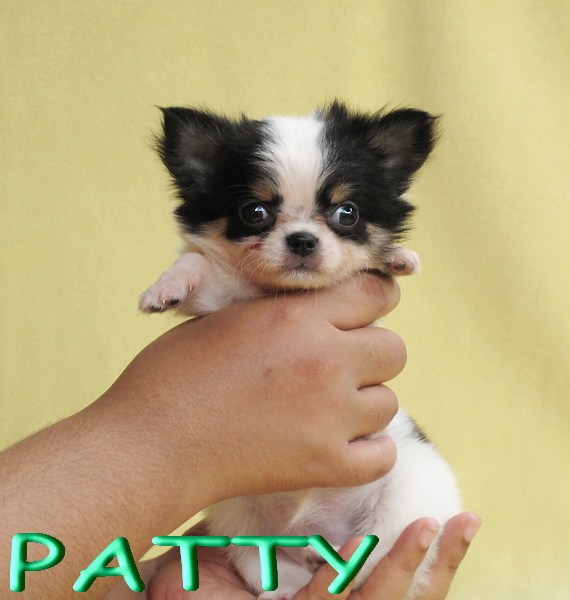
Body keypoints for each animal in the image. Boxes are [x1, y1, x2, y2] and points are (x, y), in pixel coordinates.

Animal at [139, 101, 461, 599]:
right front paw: (167, 286)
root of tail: (317, 541)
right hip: (239, 521)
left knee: (380, 551)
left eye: (347, 213)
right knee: (266, 565)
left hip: (409, 492)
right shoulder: (219, 300)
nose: (303, 239)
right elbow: (196, 262)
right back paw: (288, 587)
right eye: (254, 211)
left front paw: (394, 257)